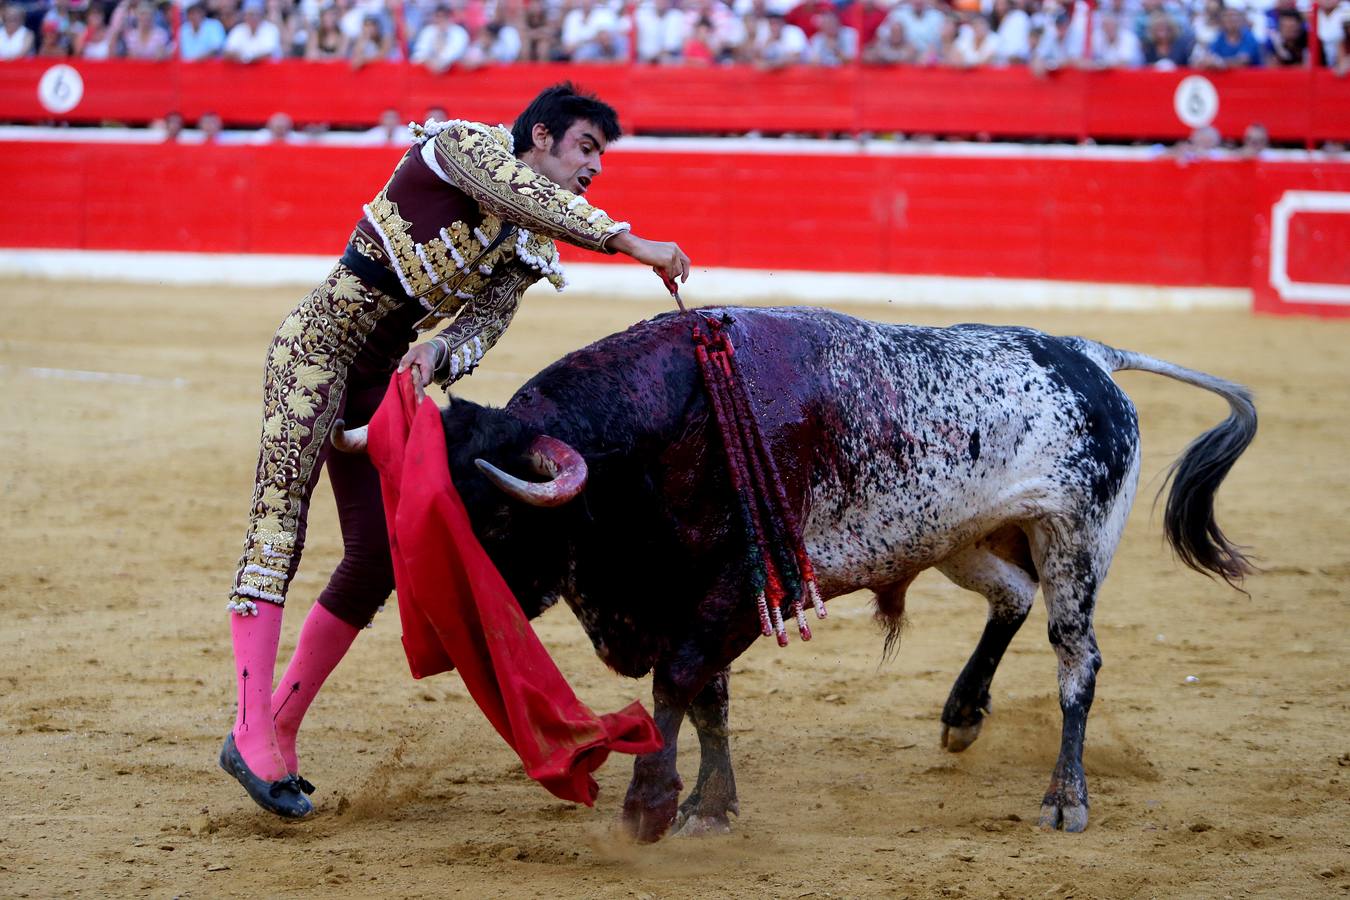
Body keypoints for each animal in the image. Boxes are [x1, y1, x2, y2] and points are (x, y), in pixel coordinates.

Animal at [334, 307, 1252, 847]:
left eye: (492, 519)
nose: (443, 630)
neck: (663, 431)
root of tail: (1088, 350)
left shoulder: (733, 596)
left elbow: (678, 684)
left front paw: (652, 805)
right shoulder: (695, 597)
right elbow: (709, 699)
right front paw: (709, 806)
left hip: (1075, 538)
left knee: (1075, 659)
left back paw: (1065, 799)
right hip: (959, 535)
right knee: (1012, 598)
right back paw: (961, 716)